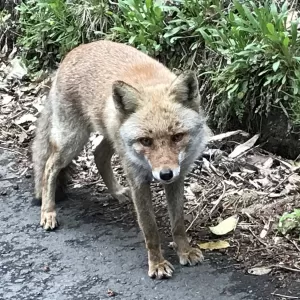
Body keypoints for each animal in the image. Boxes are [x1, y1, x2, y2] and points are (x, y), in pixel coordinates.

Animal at [31, 39, 210, 278]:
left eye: (177, 137)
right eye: (146, 141)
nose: (165, 174)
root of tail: (76, 49)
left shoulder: (177, 179)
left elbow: (178, 224)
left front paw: (185, 251)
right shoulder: (138, 181)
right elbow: (150, 229)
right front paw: (157, 264)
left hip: (111, 137)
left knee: (98, 155)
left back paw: (116, 192)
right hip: (74, 141)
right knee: (50, 167)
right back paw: (48, 212)